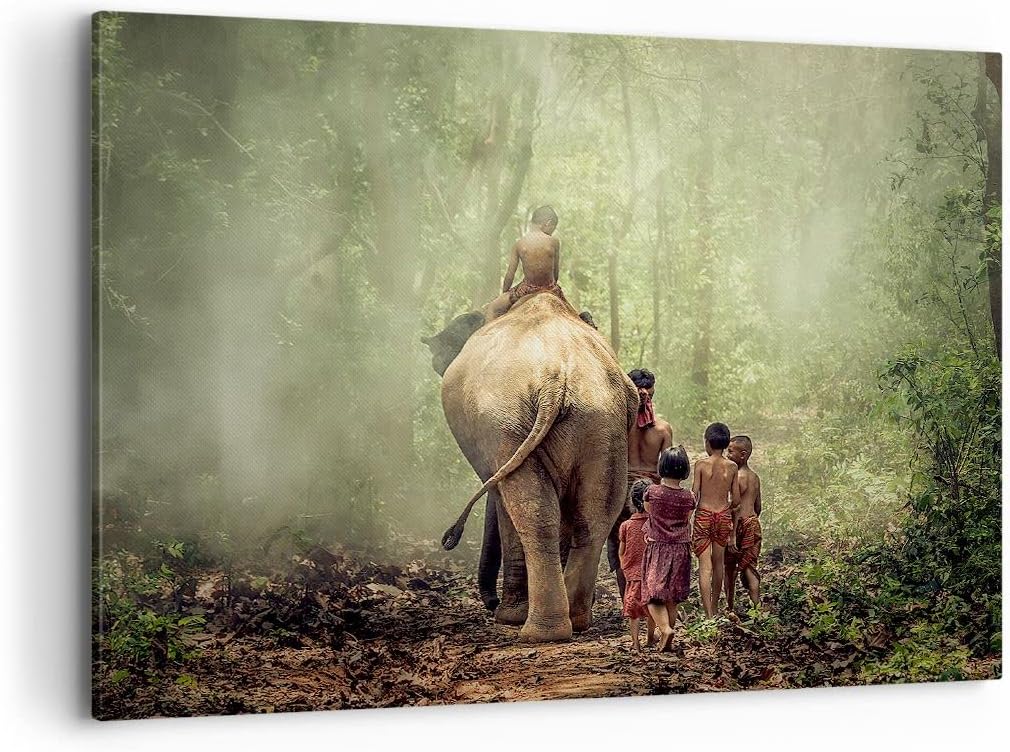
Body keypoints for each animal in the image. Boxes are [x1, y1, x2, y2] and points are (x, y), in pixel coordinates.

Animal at [423, 293, 639, 642]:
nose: (490, 603)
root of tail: (555, 377)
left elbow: (503, 503)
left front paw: (507, 615)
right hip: (602, 422)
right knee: (594, 515)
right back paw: (575, 619)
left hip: (508, 425)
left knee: (533, 512)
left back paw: (536, 629)